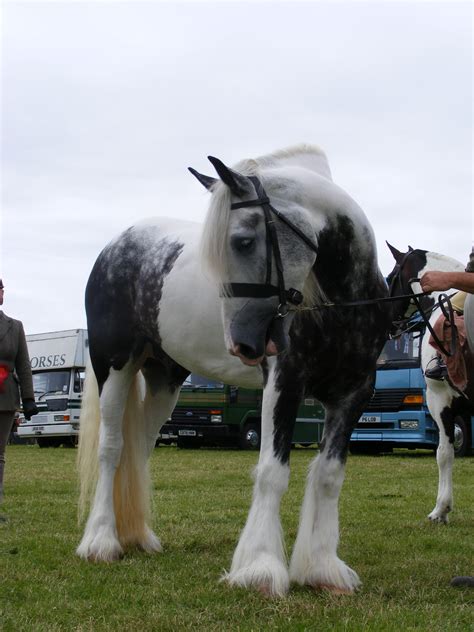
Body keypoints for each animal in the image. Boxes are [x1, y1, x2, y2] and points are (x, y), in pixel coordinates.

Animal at [77, 146, 392, 596]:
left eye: (242, 241)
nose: (241, 343)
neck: (344, 304)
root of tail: (116, 246)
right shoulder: (284, 382)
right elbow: (272, 473)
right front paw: (260, 568)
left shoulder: (353, 393)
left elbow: (330, 475)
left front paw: (323, 568)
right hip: (114, 367)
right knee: (112, 449)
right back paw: (101, 540)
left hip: (163, 380)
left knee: (138, 451)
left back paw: (137, 537)